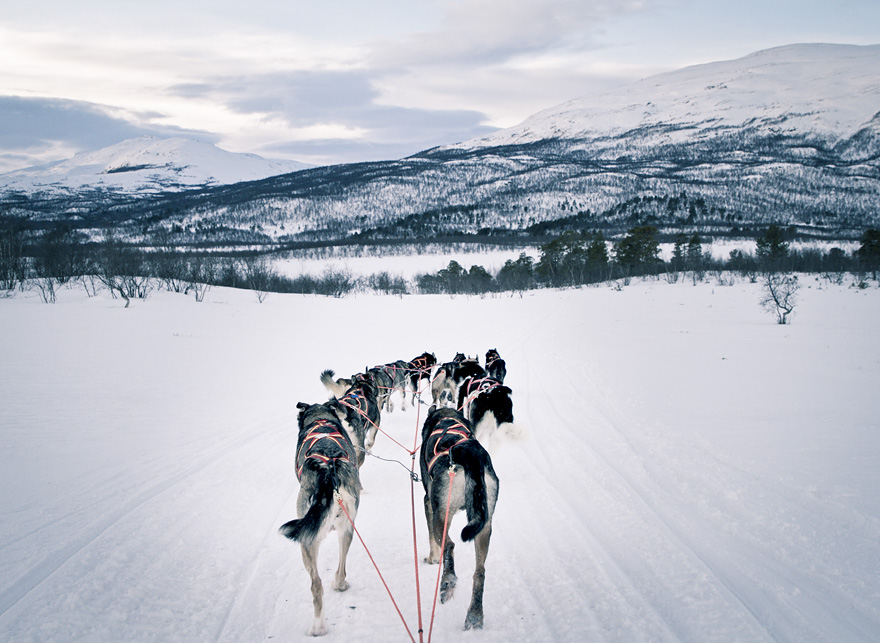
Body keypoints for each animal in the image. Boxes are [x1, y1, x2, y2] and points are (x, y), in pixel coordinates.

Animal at [278, 402, 360, 640]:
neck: (320, 418)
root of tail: (328, 470)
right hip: (343, 530)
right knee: (330, 577)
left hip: (311, 540)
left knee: (321, 582)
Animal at [418, 408, 496, 628]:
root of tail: (469, 453)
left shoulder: (428, 503)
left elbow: (433, 542)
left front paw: (432, 558)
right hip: (484, 524)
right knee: (480, 572)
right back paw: (475, 614)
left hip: (441, 517)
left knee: (449, 546)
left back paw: (447, 582)